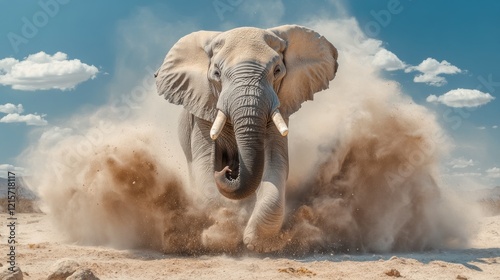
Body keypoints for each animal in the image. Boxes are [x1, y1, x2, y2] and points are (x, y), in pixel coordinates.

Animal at [154, 24, 338, 252]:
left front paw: (253, 242)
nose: (227, 171)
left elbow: (276, 163)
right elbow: (204, 165)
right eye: (216, 73)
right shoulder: (202, 110)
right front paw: (223, 237)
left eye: (277, 71)